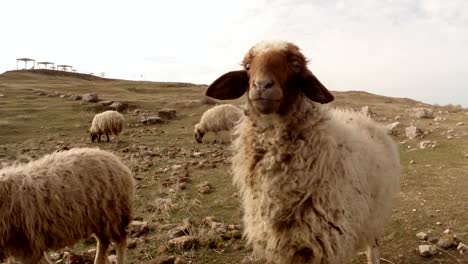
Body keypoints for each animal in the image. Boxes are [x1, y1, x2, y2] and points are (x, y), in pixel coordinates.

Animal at [0, 147, 135, 264]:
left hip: (113, 213)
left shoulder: (25, 245)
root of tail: (113, 158)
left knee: (120, 240)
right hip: (99, 219)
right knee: (104, 242)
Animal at [203, 39, 400, 264]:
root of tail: (364, 118)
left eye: (296, 65)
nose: (261, 86)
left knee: (373, 243)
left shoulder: (326, 244)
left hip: (376, 212)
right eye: (247, 66)